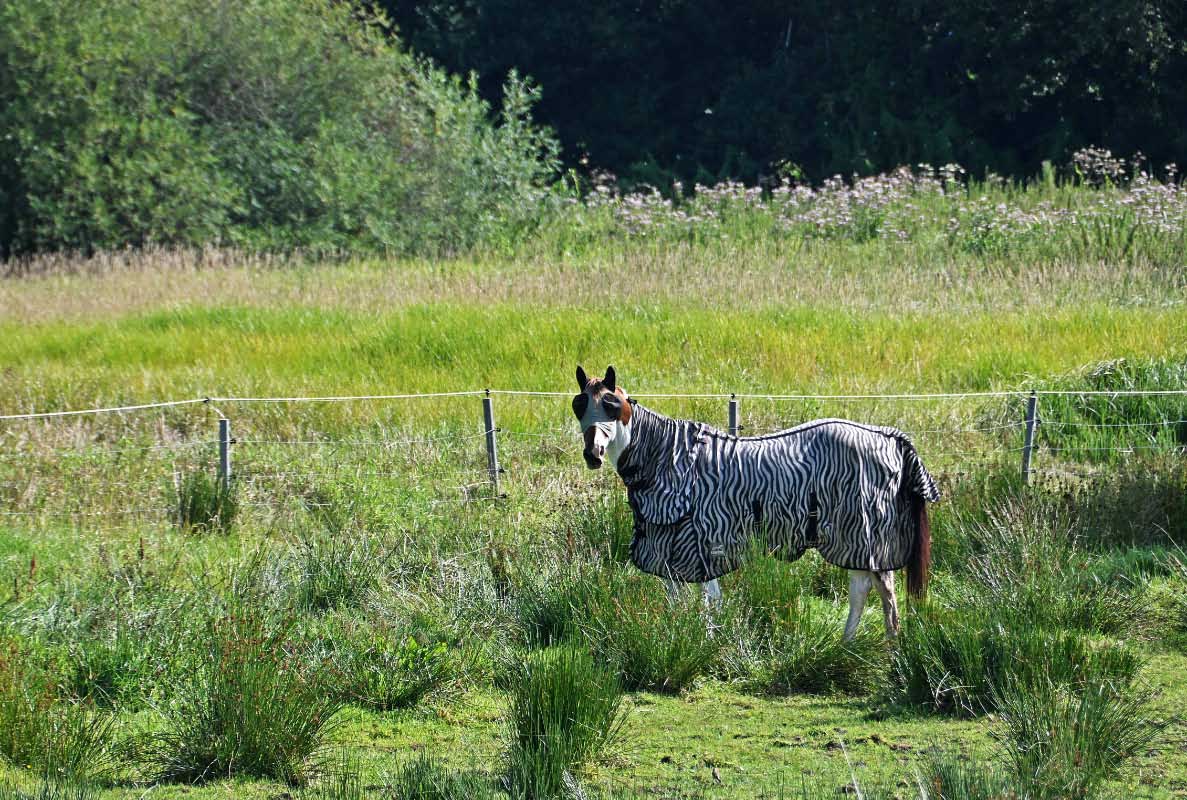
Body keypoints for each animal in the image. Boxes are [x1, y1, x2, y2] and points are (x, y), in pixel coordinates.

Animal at [572, 365, 940, 640]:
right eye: (579, 406)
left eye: (611, 406)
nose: (593, 455)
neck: (664, 457)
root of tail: (886, 436)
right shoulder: (680, 543)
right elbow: (690, 599)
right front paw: (688, 639)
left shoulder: (698, 539)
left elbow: (703, 600)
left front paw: (699, 642)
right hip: (855, 536)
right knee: (862, 586)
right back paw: (847, 646)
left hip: (865, 531)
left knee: (882, 592)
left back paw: (886, 647)